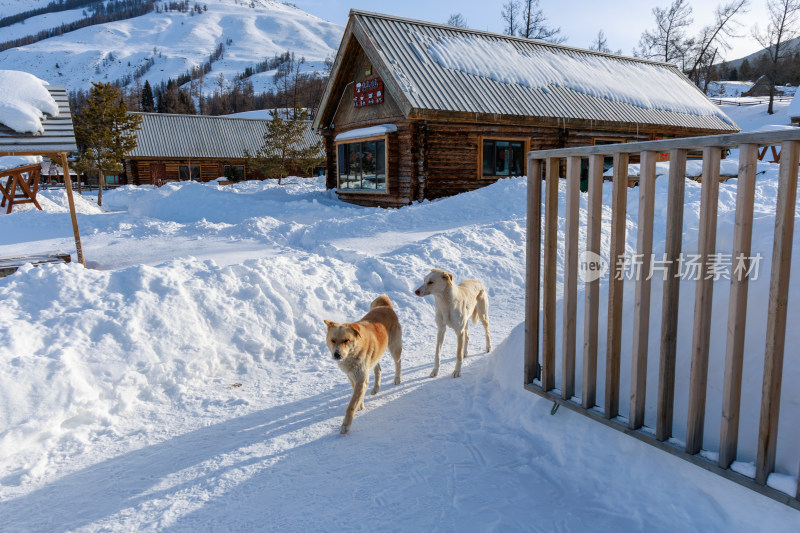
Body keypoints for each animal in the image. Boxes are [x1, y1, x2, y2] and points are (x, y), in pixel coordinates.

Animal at [324, 294, 404, 434]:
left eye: (346, 340)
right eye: (332, 340)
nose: (336, 354)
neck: (352, 354)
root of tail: (386, 306)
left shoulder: (361, 378)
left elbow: (351, 405)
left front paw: (346, 425)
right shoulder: (352, 376)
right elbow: (357, 394)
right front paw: (360, 404)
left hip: (394, 348)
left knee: (398, 362)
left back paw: (397, 379)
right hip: (374, 357)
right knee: (378, 369)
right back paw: (376, 388)